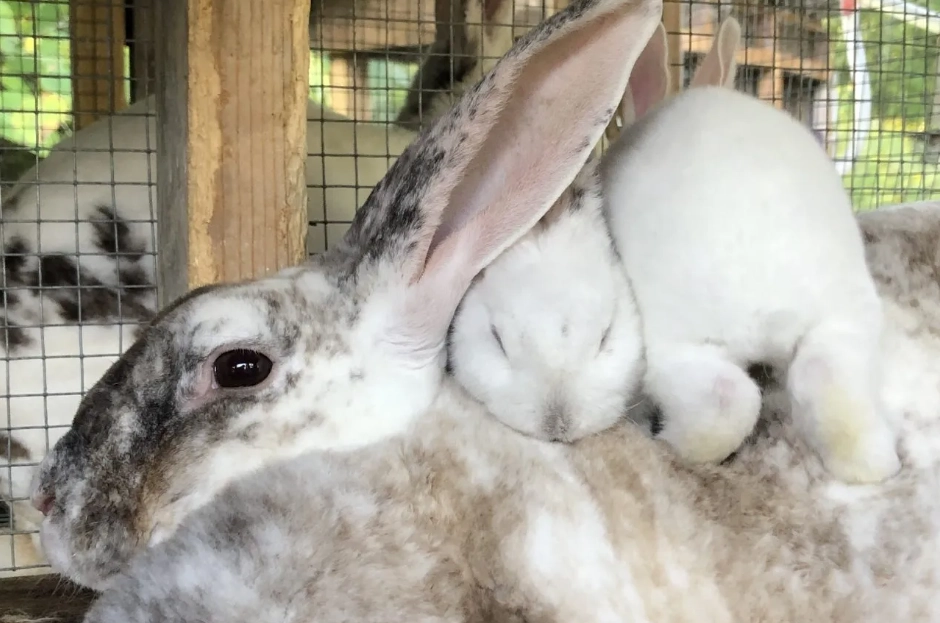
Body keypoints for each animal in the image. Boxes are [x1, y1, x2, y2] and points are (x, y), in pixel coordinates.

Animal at [598, 83, 901, 484]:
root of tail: (767, 302)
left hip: (672, 352)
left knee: (726, 404)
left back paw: (667, 441)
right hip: (844, 321)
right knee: (824, 383)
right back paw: (877, 465)